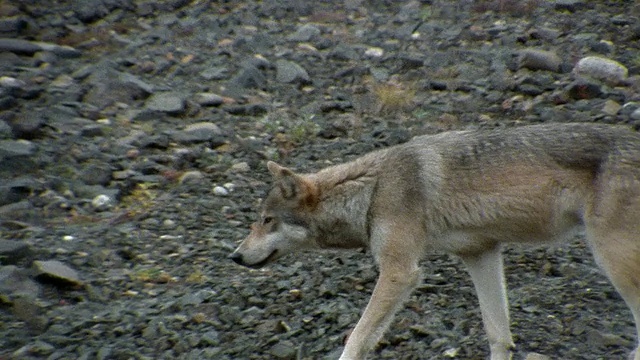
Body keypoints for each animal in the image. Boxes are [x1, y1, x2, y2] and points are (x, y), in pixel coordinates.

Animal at [229, 124, 640, 360]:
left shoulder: (400, 272)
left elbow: (356, 339)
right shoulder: (481, 254)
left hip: (614, 263)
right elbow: (498, 336)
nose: (234, 256)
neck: (372, 191)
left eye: (266, 221)